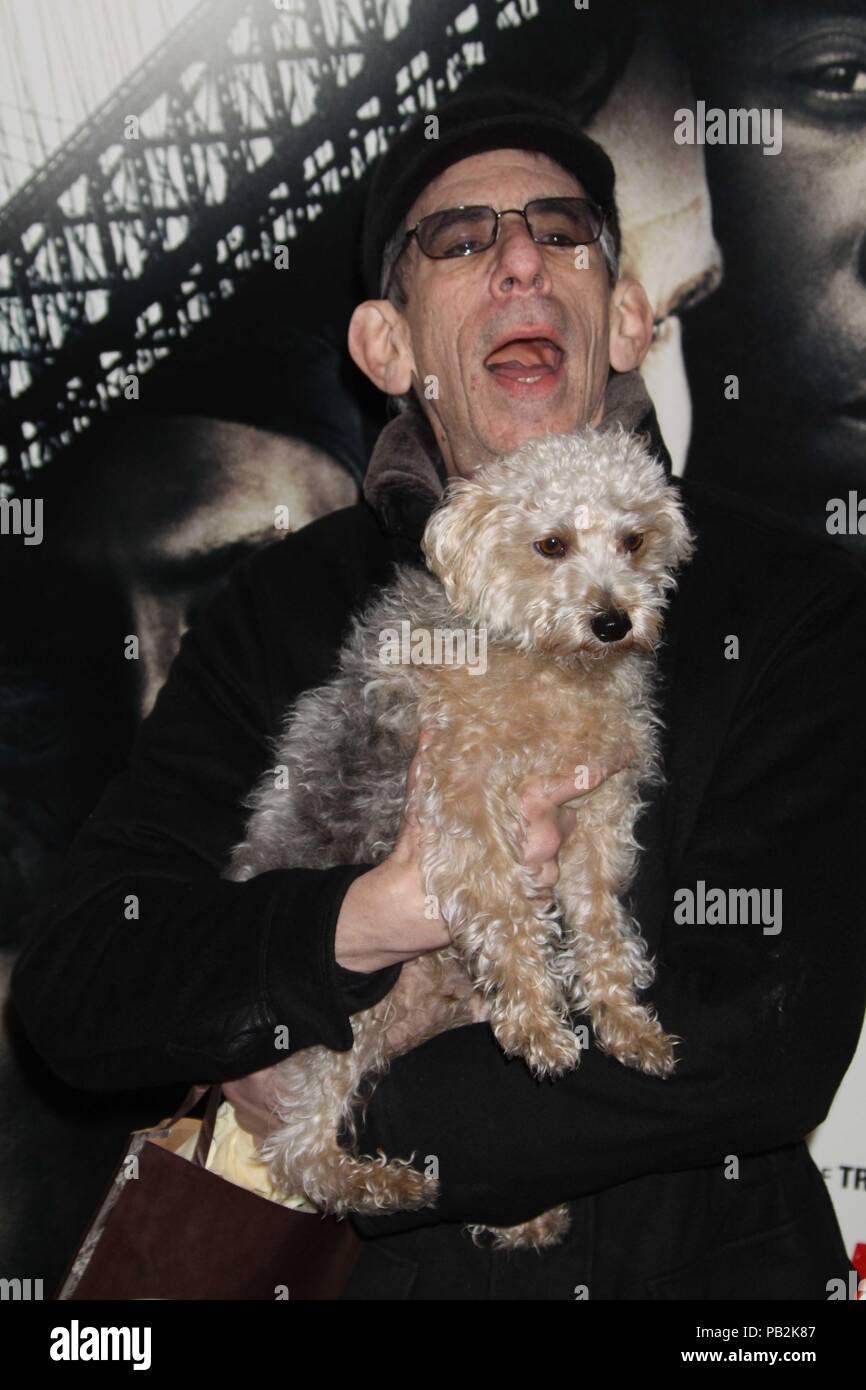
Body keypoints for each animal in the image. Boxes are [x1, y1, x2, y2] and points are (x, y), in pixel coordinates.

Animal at [225, 425, 697, 1251]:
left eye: (634, 539)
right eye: (551, 544)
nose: (613, 621)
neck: (548, 664)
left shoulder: (598, 819)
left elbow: (602, 927)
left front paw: (623, 1022)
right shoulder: (463, 803)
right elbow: (508, 914)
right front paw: (539, 1021)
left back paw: (522, 1213)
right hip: (345, 1028)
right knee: (300, 1151)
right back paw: (382, 1184)